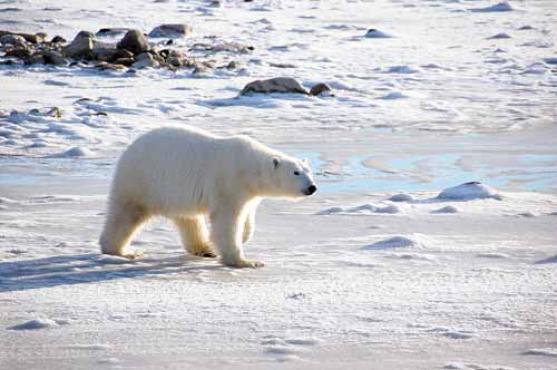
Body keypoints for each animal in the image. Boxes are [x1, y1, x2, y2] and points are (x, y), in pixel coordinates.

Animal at [98, 125, 314, 268]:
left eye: (309, 171)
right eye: (296, 172)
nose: (312, 187)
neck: (249, 167)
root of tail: (129, 149)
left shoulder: (249, 193)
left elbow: (247, 219)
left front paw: (238, 239)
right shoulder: (229, 184)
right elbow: (227, 221)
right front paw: (246, 261)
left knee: (188, 220)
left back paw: (204, 249)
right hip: (143, 180)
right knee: (127, 214)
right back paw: (121, 251)